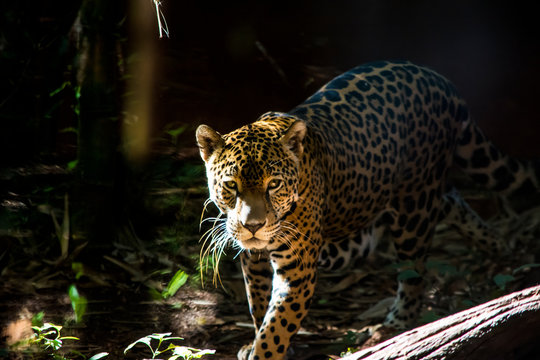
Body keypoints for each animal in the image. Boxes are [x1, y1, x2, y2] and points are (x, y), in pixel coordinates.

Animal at [193, 60, 536, 358]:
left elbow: (276, 327)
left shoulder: (297, 271)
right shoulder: (254, 261)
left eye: (274, 184)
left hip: (414, 208)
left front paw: (266, 351)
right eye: (231, 185)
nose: (252, 226)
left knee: (414, 272)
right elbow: (259, 306)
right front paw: (259, 341)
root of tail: (437, 77)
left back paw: (396, 325)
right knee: (451, 200)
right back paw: (494, 242)